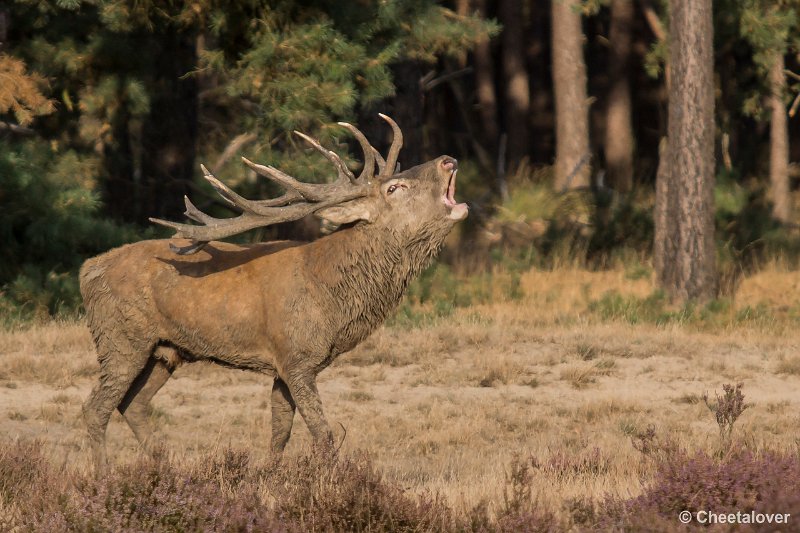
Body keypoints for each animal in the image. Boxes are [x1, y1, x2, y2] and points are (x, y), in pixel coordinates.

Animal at [79, 114, 468, 468]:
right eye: (393, 189)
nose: (448, 158)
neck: (331, 298)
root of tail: (88, 270)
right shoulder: (296, 357)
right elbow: (323, 434)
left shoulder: (286, 364)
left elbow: (280, 431)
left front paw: (269, 476)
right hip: (120, 339)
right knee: (95, 408)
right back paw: (105, 479)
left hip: (165, 350)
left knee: (134, 404)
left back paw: (165, 468)